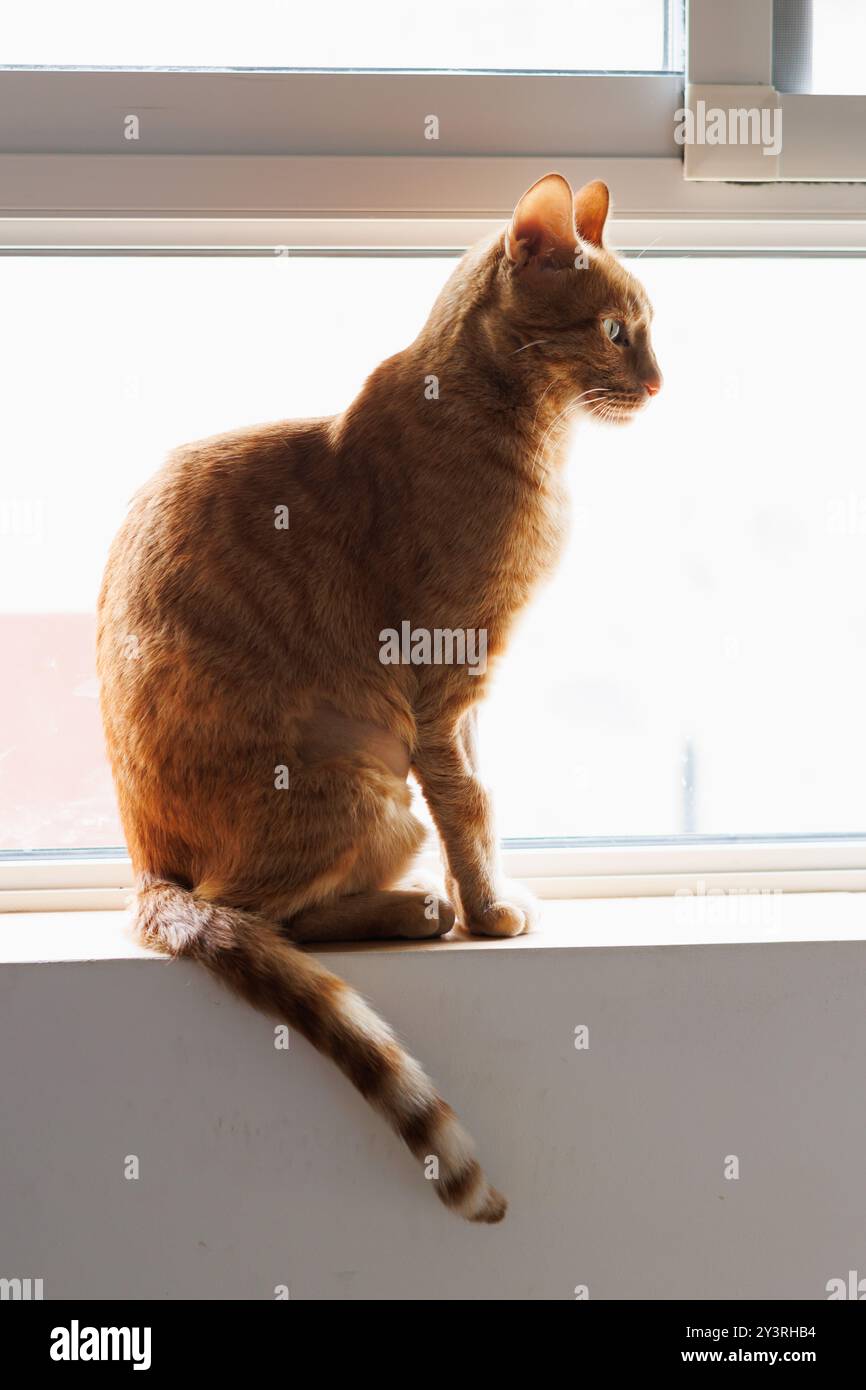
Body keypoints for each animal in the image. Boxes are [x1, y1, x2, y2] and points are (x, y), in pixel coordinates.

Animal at [97, 170, 661, 1217]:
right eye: (615, 333)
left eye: (651, 331)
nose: (658, 383)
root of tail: (147, 867)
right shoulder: (440, 687)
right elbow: (470, 808)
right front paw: (486, 913)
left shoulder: (466, 705)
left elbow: (481, 801)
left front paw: (484, 896)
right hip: (363, 790)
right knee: (255, 912)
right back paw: (415, 911)